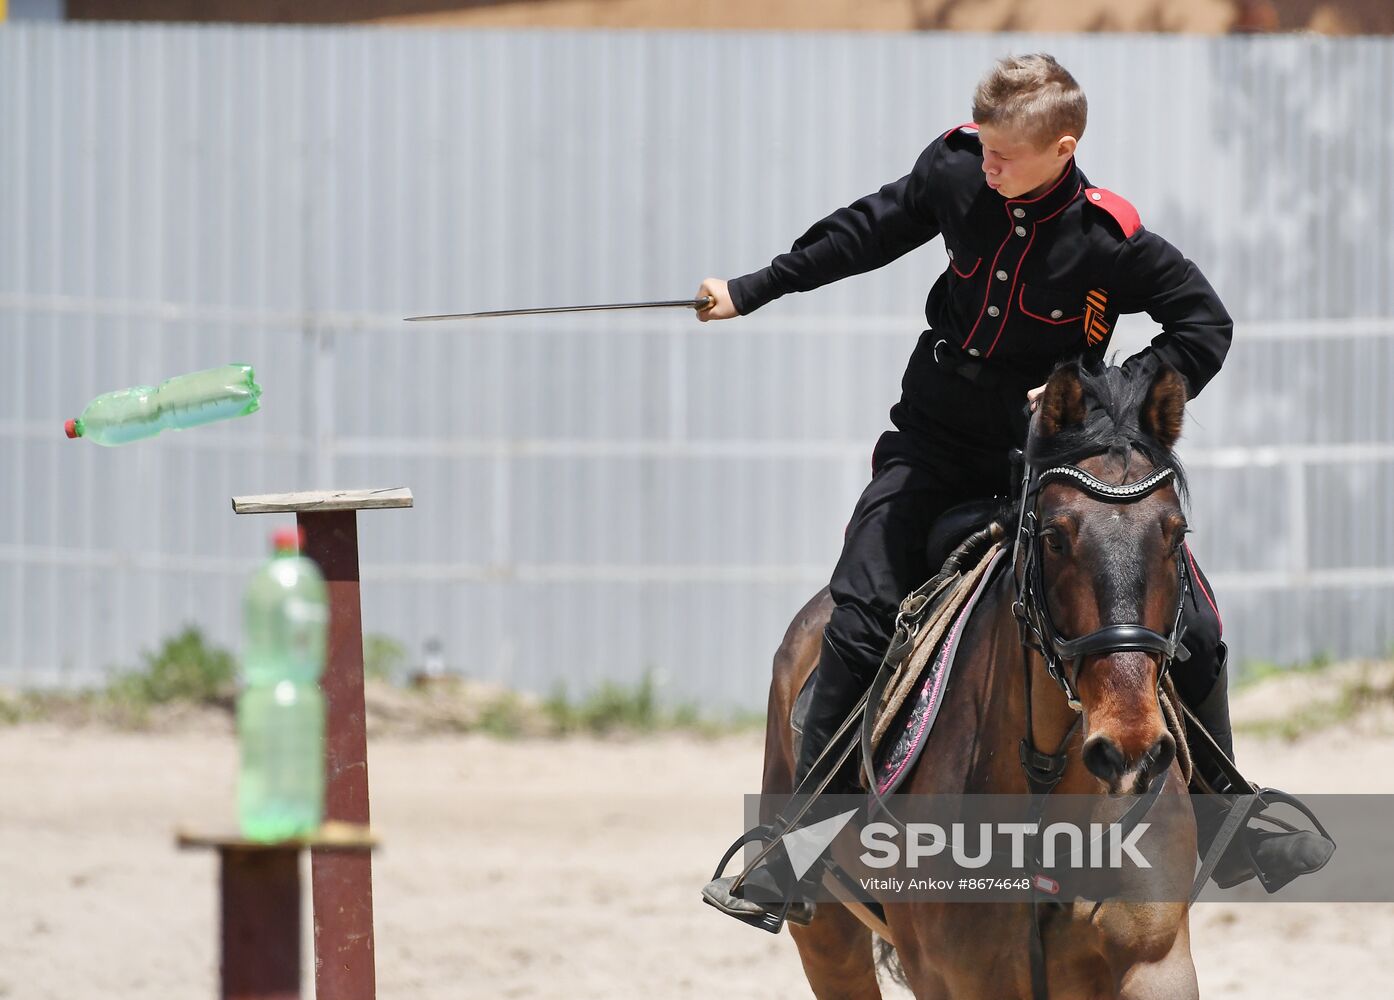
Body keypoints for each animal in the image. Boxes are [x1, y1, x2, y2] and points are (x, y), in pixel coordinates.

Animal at [763, 362, 1198, 998]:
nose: (1131, 752)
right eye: (1054, 537)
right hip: (827, 941)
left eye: (1176, 535)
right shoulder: (954, 979)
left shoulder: (1156, 963)